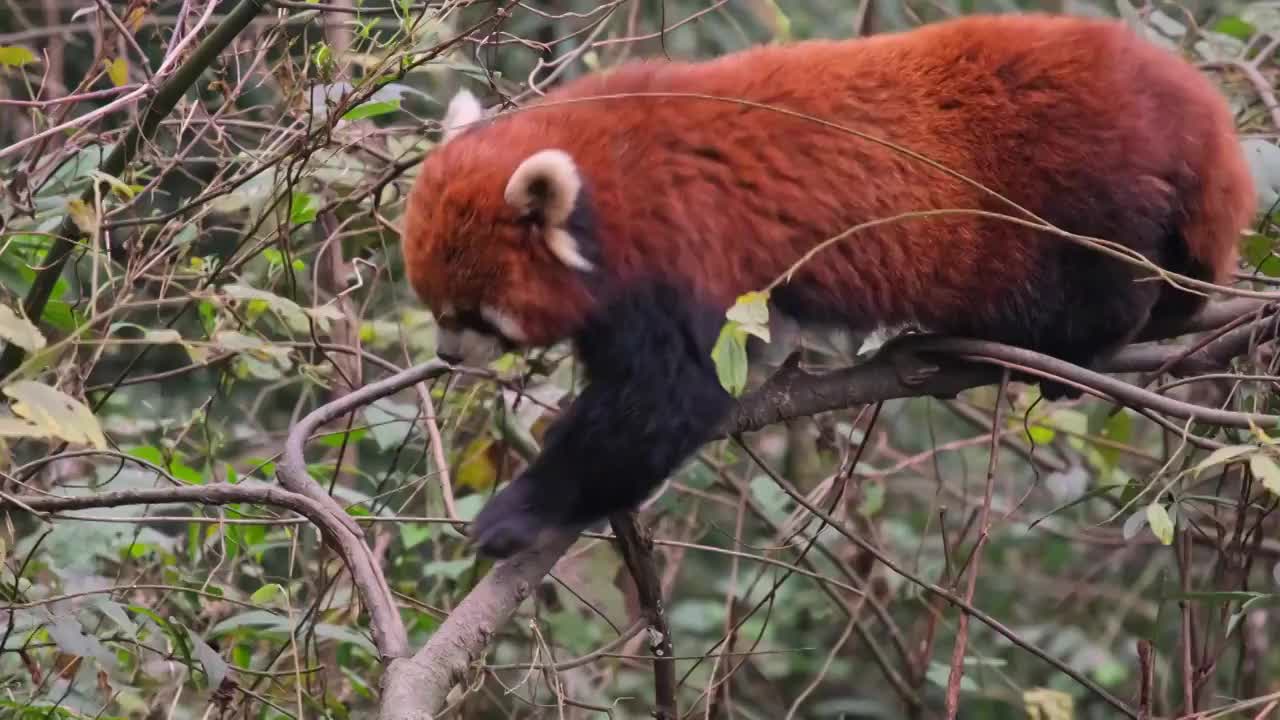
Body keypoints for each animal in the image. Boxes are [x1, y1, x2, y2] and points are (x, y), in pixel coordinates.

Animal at [404, 15, 1254, 556]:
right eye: (433, 307)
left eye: (473, 313)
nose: (445, 356)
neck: (606, 175)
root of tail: (1181, 94)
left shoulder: (680, 244)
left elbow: (666, 399)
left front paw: (518, 513)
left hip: (1072, 191)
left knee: (1096, 282)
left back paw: (1066, 348)